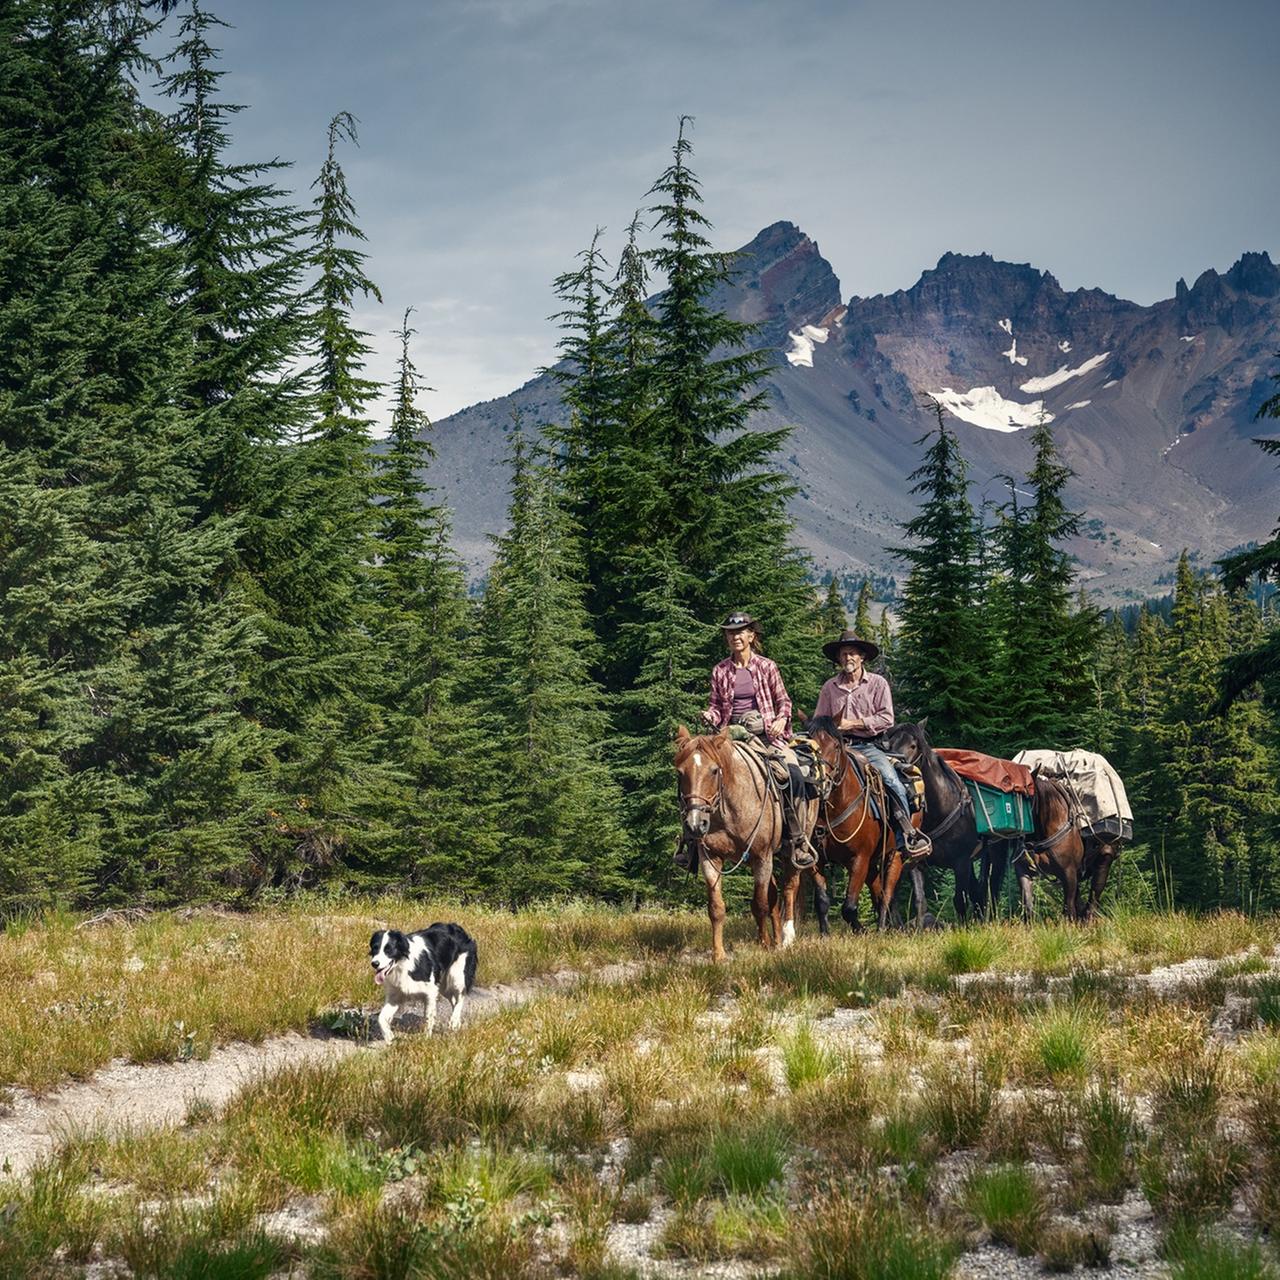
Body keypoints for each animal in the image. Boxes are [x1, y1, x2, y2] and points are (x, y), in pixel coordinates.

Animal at [670, 732, 819, 962]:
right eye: (680, 772)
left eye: (714, 770)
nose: (695, 824)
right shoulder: (710, 858)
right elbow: (717, 907)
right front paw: (719, 954)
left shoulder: (762, 857)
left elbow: (760, 904)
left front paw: (764, 945)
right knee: (774, 894)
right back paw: (777, 940)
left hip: (792, 851)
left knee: (789, 887)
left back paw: (787, 938)